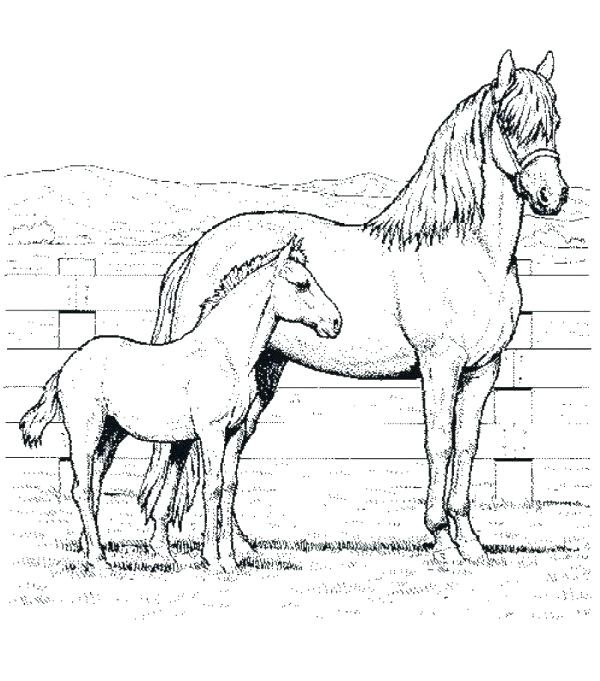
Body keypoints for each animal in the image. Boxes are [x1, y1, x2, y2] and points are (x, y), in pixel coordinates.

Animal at [19, 239, 341, 568]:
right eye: (301, 284)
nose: (335, 323)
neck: (226, 354)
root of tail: (69, 363)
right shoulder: (211, 433)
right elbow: (212, 487)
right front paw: (214, 560)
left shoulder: (234, 432)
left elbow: (229, 486)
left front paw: (230, 559)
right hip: (86, 433)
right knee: (82, 489)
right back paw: (98, 560)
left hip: (111, 434)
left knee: (95, 485)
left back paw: (93, 553)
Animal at [140, 49, 568, 564]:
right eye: (509, 121)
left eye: (556, 122)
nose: (552, 195)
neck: (468, 253)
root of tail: (194, 250)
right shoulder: (440, 367)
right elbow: (440, 446)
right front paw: (442, 540)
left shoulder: (483, 370)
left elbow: (466, 448)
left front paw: (471, 544)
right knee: (183, 448)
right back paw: (167, 545)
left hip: (261, 372)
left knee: (229, 453)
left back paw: (236, 547)